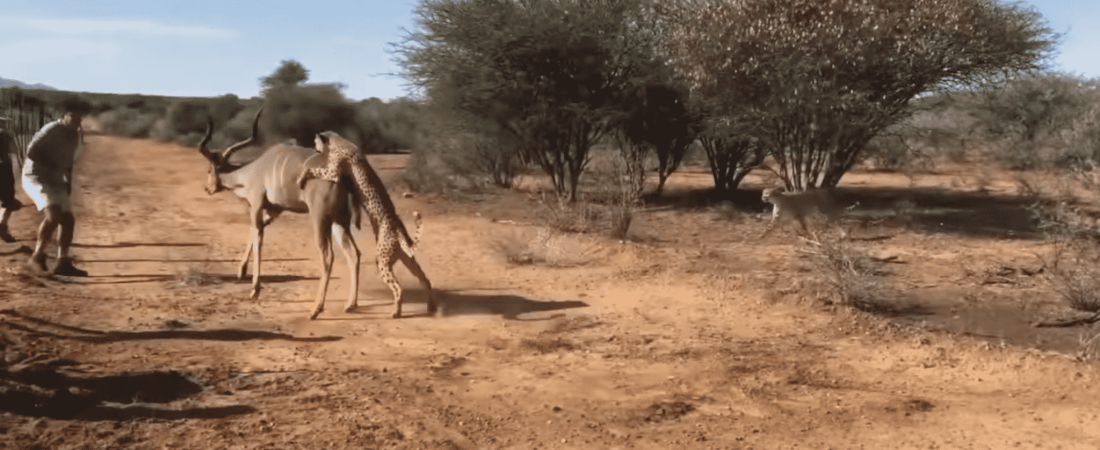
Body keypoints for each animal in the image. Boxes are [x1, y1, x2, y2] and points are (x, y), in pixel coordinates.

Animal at [198, 108, 365, 319]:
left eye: (208, 170)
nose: (207, 189)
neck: (254, 168)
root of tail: (343, 175)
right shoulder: (275, 210)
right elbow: (254, 231)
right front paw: (241, 271)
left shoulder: (256, 204)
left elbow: (258, 237)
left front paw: (255, 290)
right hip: (339, 222)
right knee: (354, 253)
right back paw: (351, 304)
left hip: (320, 220)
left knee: (328, 257)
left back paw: (316, 310)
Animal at [301, 129, 437, 316]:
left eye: (316, 142)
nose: (315, 147)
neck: (339, 141)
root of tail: (398, 229)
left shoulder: (333, 172)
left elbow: (317, 170)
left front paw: (303, 175)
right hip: (408, 260)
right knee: (425, 280)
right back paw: (431, 307)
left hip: (382, 260)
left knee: (398, 287)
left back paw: (396, 312)